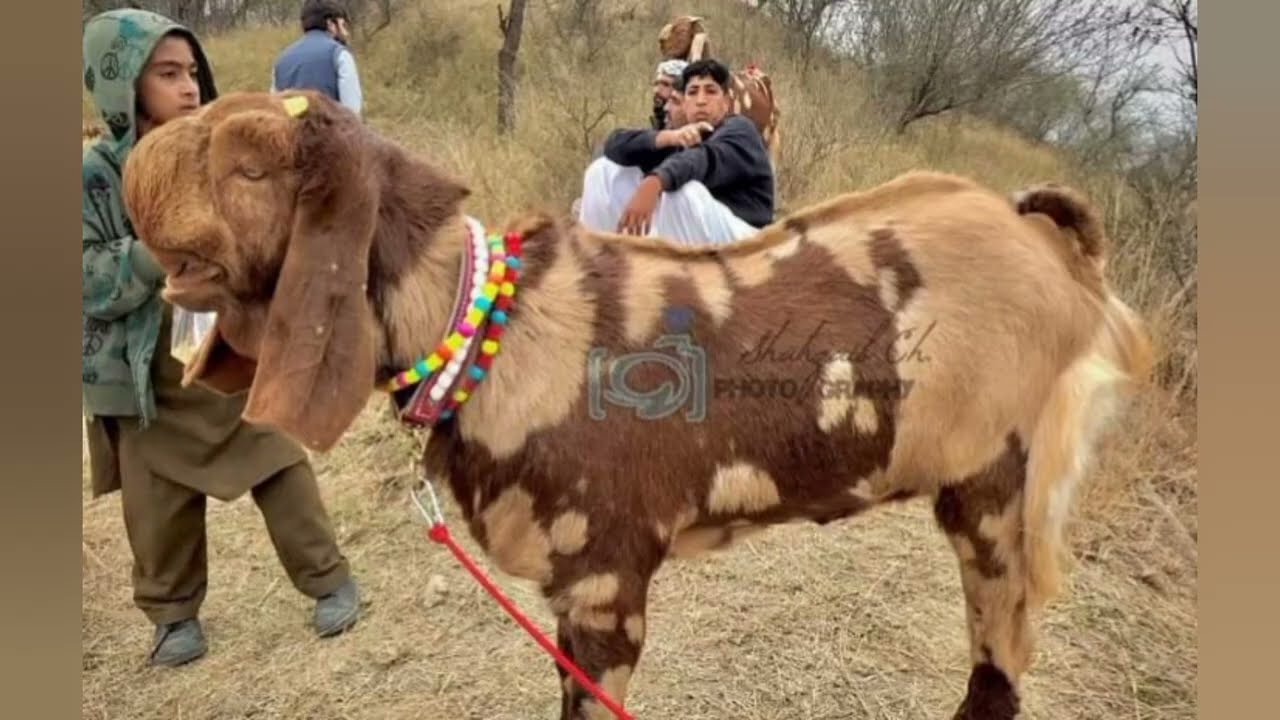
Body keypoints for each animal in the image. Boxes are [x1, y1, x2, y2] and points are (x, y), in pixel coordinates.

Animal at [122, 91, 1152, 720]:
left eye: (254, 166)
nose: (140, 154)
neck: (489, 326)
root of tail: (1042, 237)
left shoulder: (605, 583)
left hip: (999, 491)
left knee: (1000, 659)